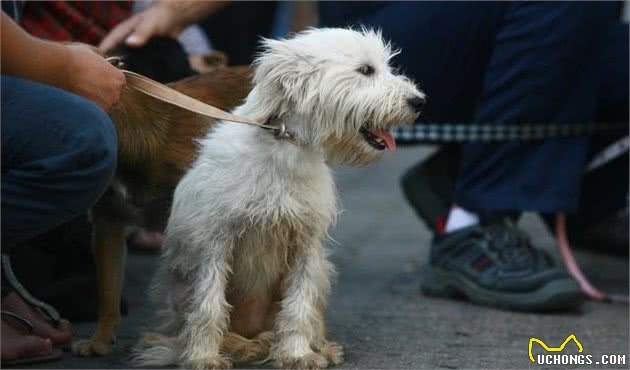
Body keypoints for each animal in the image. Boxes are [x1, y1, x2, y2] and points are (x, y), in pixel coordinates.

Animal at [136, 28, 428, 370]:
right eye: (366, 70)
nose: (418, 101)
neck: (286, 149)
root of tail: (250, 335)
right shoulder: (215, 243)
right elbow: (209, 304)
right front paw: (203, 356)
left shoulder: (305, 243)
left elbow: (298, 306)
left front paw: (297, 353)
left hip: (321, 270)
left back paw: (317, 347)